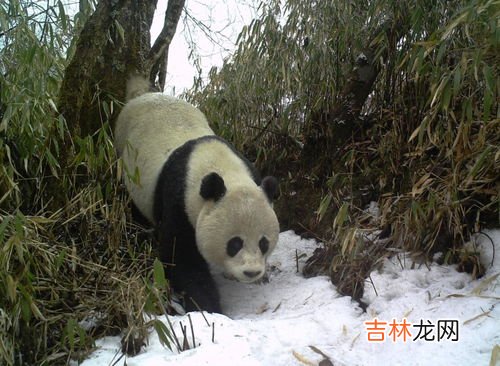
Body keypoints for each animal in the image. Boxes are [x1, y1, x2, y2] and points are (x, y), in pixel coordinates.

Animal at [114, 76, 284, 314]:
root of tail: (143, 94)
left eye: (263, 243)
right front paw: (207, 306)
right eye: (234, 243)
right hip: (124, 156)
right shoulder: (179, 199)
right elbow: (180, 258)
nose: (251, 272)